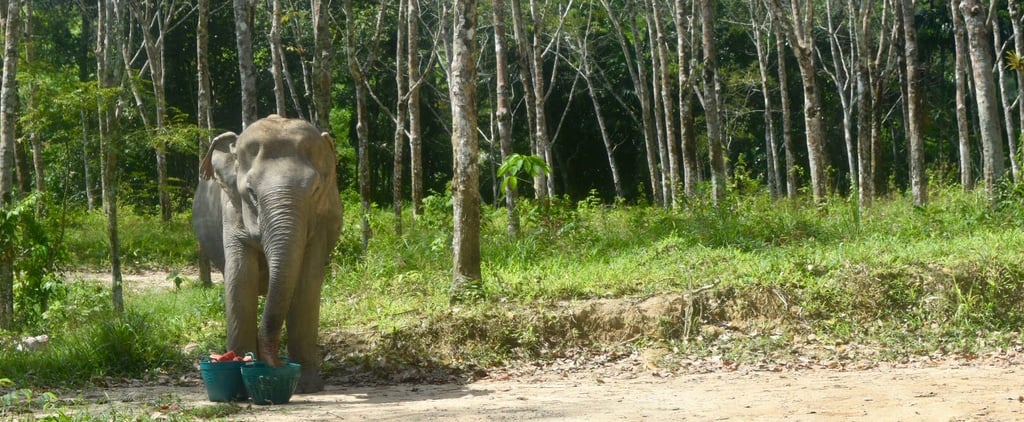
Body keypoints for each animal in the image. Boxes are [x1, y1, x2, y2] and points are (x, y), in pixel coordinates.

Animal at [192, 115, 342, 393]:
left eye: (315, 189)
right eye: (250, 192)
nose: (278, 364)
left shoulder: (321, 221)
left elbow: (307, 284)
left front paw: (307, 385)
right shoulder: (232, 211)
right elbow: (240, 279)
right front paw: (240, 376)